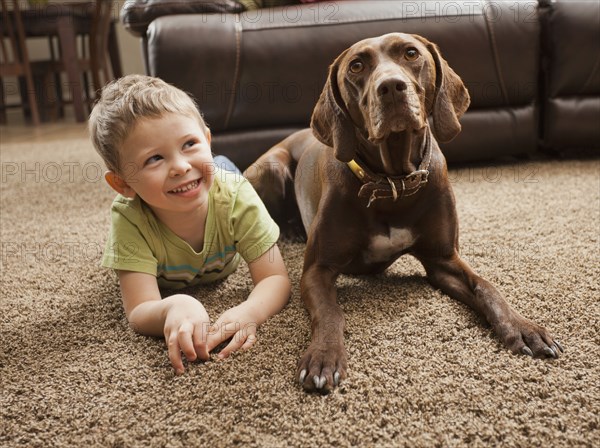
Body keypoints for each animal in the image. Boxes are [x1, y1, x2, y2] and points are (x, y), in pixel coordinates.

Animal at [244, 33, 564, 392]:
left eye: (411, 53)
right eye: (356, 66)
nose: (391, 87)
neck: (392, 183)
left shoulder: (443, 260)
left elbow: (487, 286)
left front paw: (523, 327)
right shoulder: (317, 270)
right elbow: (330, 312)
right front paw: (324, 355)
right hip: (272, 168)